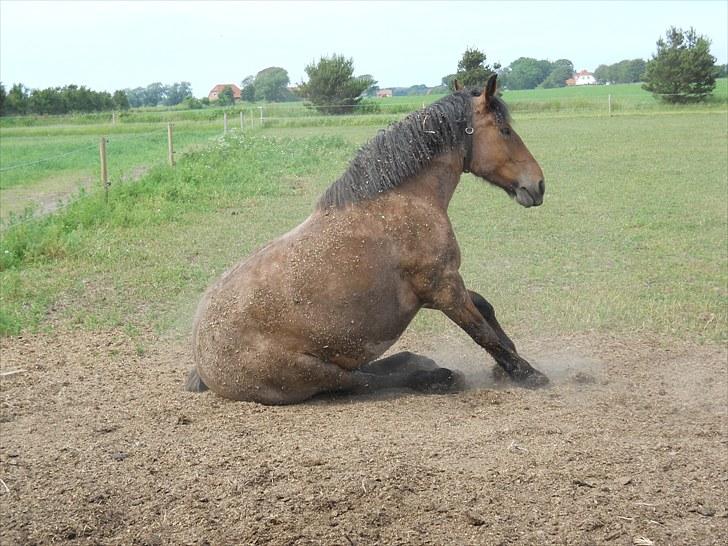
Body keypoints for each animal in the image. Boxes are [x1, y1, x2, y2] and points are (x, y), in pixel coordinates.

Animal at [186, 74, 544, 402]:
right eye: (505, 131)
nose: (538, 184)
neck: (405, 200)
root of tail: (203, 360)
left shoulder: (441, 284)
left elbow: (484, 306)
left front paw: (507, 364)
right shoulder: (442, 288)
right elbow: (481, 332)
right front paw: (526, 373)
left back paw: (417, 361)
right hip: (311, 371)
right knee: (361, 381)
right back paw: (434, 377)